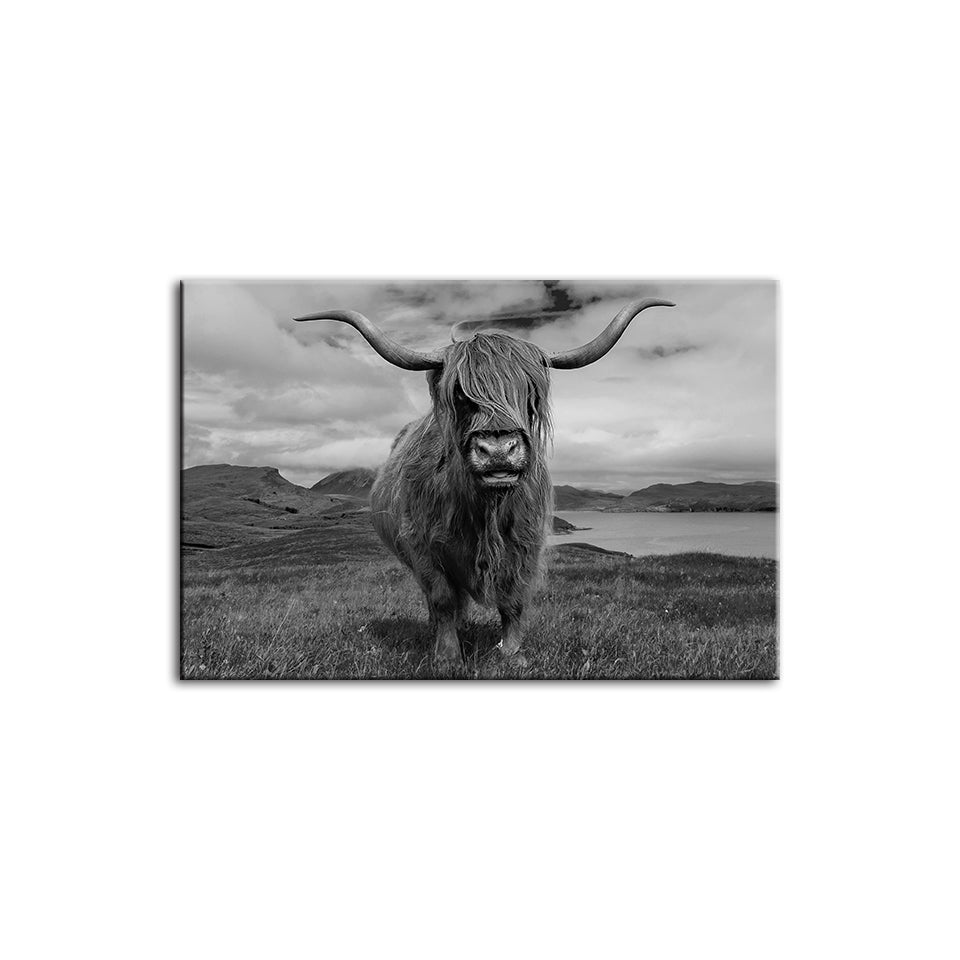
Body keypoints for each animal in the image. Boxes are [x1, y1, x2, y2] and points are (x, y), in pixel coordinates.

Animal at [294, 297, 674, 668]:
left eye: (529, 393)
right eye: (461, 394)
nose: (498, 451)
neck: (484, 510)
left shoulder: (526, 544)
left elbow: (513, 600)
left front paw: (513, 653)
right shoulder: (422, 547)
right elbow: (443, 598)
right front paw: (447, 656)